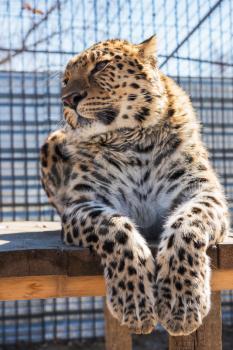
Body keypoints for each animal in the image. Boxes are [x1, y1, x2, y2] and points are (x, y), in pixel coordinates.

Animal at [40, 35, 229, 336]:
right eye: (66, 80)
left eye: (100, 66)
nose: (67, 99)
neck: (133, 141)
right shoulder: (83, 203)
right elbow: (115, 228)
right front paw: (135, 304)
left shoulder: (202, 192)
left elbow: (187, 226)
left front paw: (182, 302)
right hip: (52, 140)